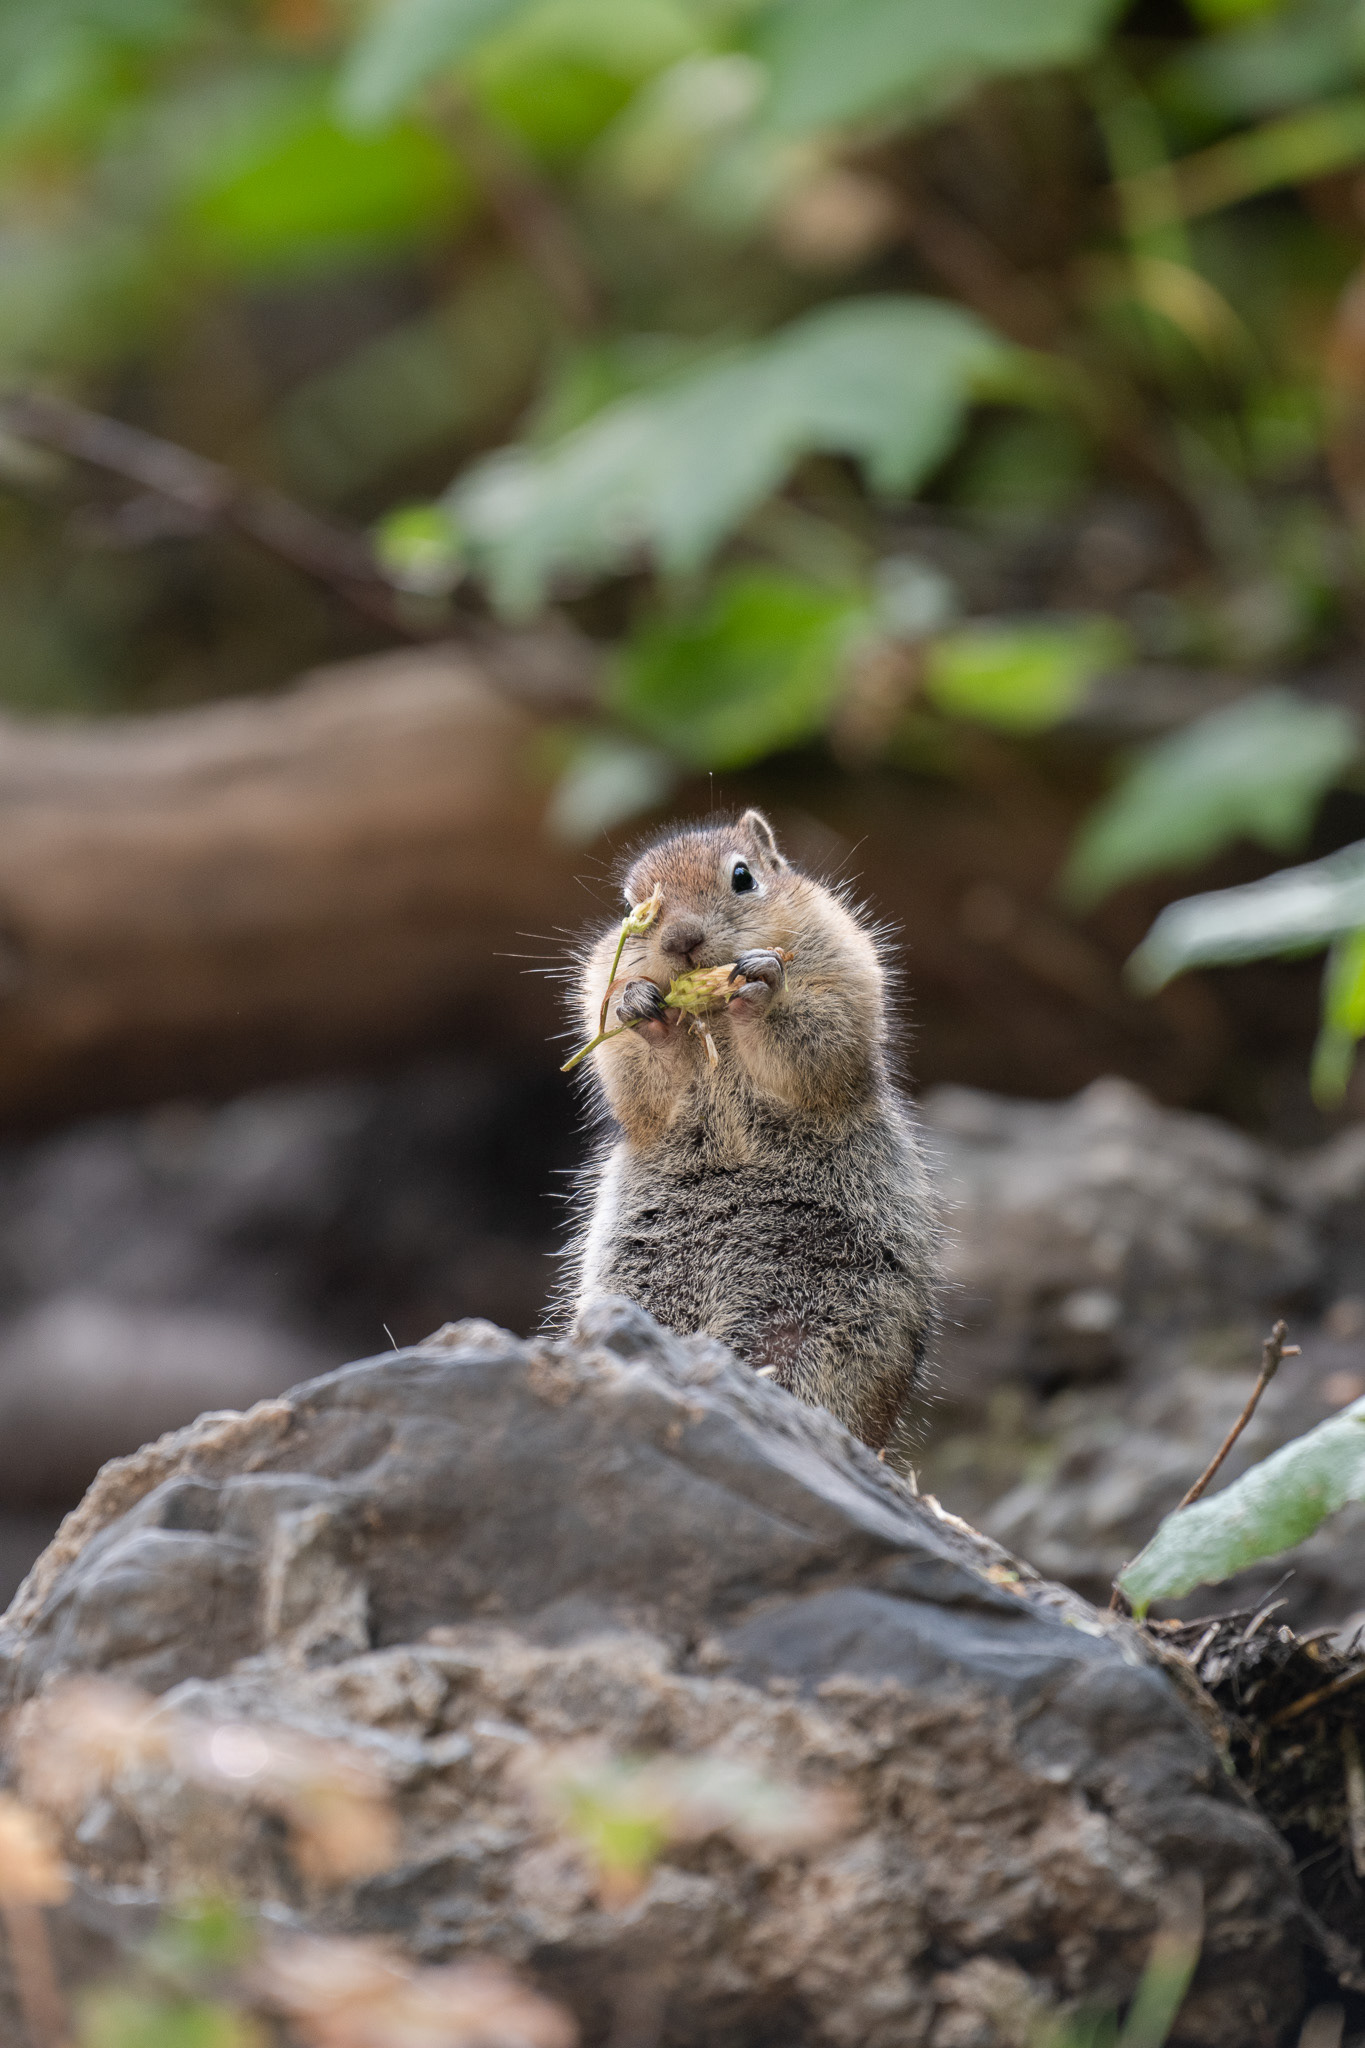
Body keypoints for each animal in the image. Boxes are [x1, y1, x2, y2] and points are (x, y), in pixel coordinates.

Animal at [556, 808, 938, 1451]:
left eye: (742, 877)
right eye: (633, 908)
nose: (681, 941)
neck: (713, 1021)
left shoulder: (845, 968)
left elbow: (822, 1037)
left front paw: (763, 987)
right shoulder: (602, 1013)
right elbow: (637, 1083)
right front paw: (640, 1007)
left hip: (830, 1322)